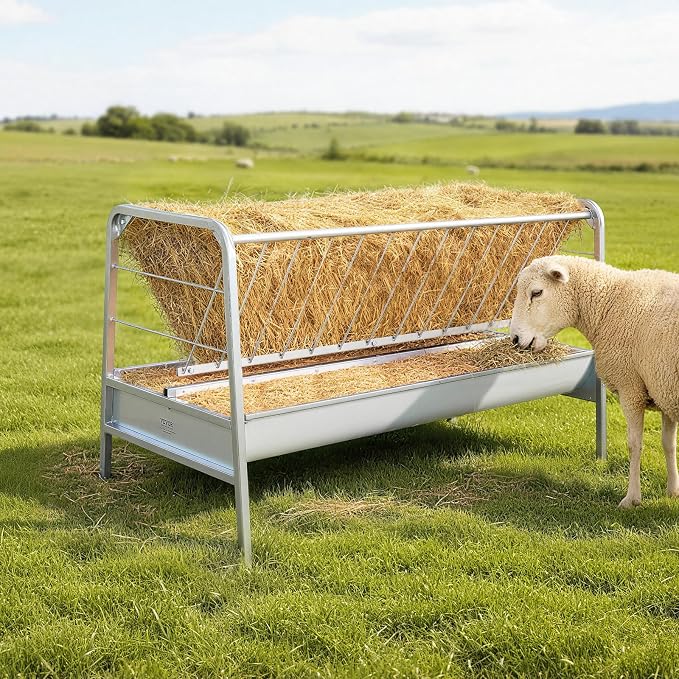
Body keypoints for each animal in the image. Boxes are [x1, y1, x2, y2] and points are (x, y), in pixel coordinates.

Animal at [509, 255, 679, 508]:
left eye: (536, 292)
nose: (515, 339)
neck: (608, 303)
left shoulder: (631, 387)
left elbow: (634, 445)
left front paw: (631, 498)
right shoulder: (661, 387)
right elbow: (668, 443)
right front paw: (673, 491)